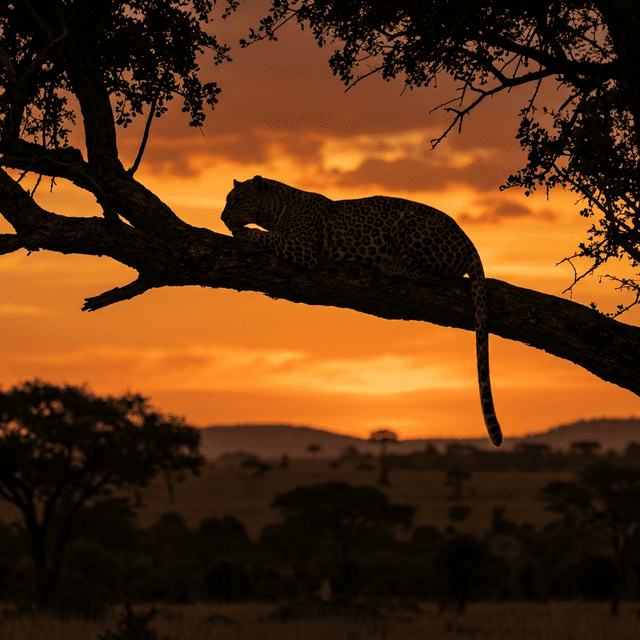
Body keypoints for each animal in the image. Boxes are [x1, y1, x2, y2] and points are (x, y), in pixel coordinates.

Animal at [221, 175, 503, 447]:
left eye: (238, 200)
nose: (223, 217)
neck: (278, 208)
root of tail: (468, 240)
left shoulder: (304, 249)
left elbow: (267, 236)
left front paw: (242, 232)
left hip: (407, 224)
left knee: (431, 276)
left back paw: (390, 266)